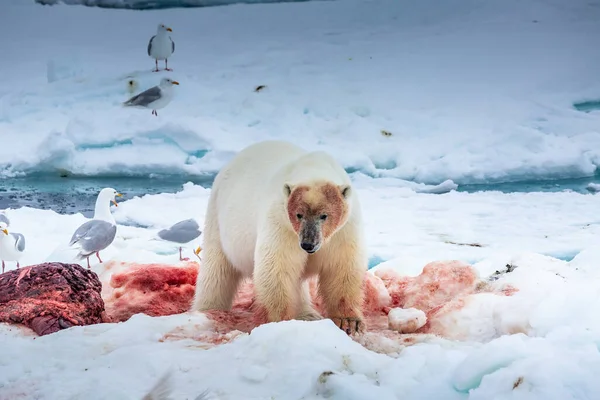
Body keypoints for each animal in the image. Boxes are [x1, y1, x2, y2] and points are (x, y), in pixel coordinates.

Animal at [192, 139, 368, 332]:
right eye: (299, 214)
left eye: (324, 215)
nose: (308, 244)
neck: (312, 166)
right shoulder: (280, 223)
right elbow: (276, 268)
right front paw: (277, 322)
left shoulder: (344, 230)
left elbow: (341, 267)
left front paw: (349, 322)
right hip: (218, 217)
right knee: (216, 271)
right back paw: (207, 309)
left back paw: (307, 314)